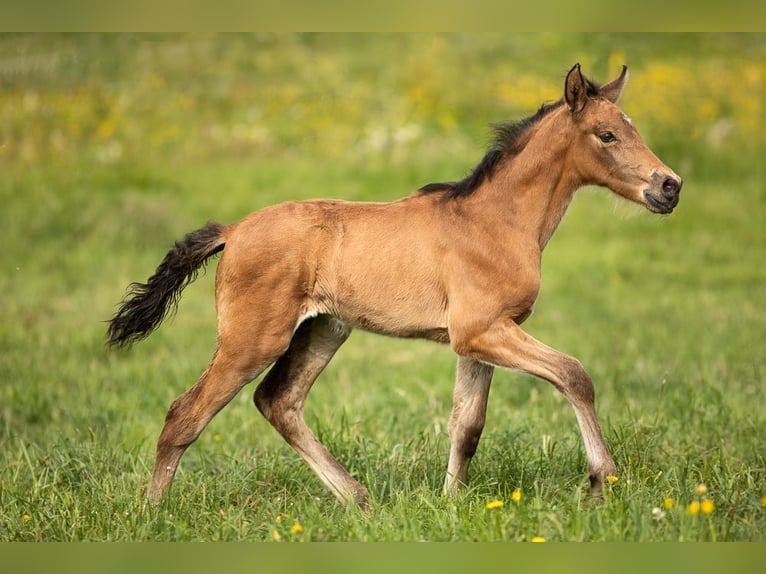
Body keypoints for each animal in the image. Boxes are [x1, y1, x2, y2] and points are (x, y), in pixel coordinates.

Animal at [108, 65, 684, 510]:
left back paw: (359, 500)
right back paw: (151, 514)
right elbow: (574, 374)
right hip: (251, 339)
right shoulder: (481, 330)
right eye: (607, 135)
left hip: (323, 330)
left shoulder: (479, 338)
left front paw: (450, 504)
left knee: (278, 401)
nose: (669, 186)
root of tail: (233, 230)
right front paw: (602, 480)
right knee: (185, 414)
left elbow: (467, 424)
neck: (496, 220)